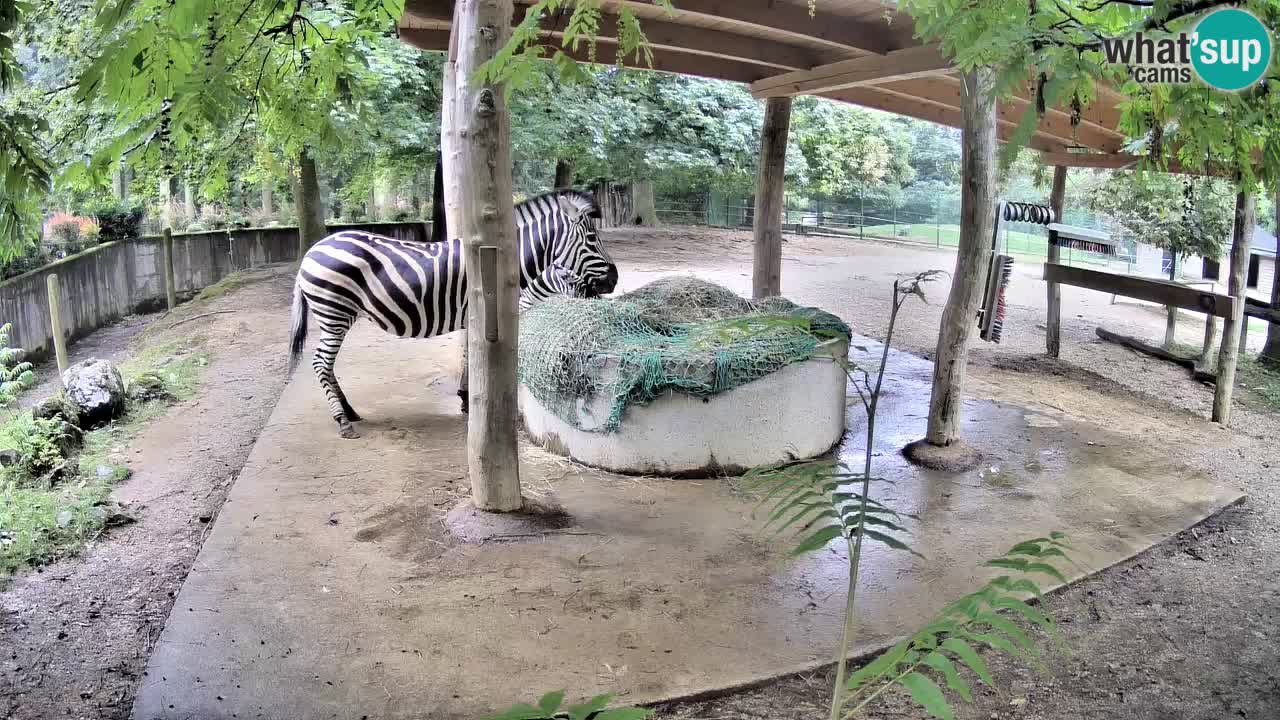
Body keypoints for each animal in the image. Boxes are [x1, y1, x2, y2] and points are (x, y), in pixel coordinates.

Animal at [288, 190, 617, 438]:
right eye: (591, 239)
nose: (614, 279)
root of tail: (312, 250)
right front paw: (475, 400)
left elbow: (469, 354)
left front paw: (466, 398)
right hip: (335, 314)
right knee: (320, 363)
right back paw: (342, 421)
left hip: (337, 316)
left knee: (327, 365)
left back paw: (350, 412)